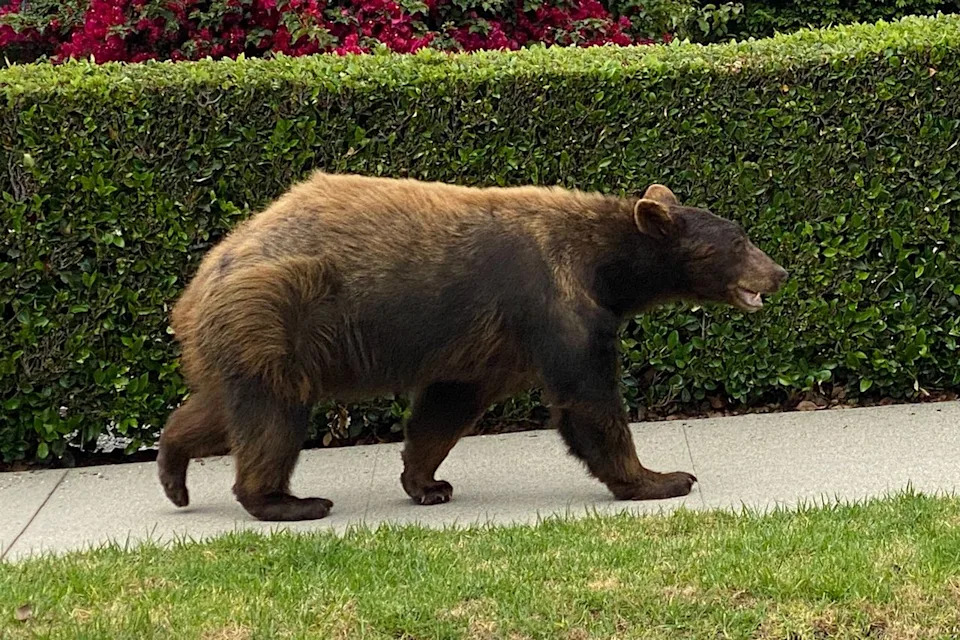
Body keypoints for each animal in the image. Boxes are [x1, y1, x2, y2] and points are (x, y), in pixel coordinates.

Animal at [156, 172, 788, 521]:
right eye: (739, 241)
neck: (606, 267)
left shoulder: (487, 343)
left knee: (221, 409)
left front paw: (427, 482)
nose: (779, 272)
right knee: (273, 417)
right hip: (275, 317)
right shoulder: (551, 303)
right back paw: (290, 502)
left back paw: (174, 471)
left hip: (241, 339)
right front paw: (663, 478)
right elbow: (588, 400)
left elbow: (448, 404)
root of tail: (199, 282)